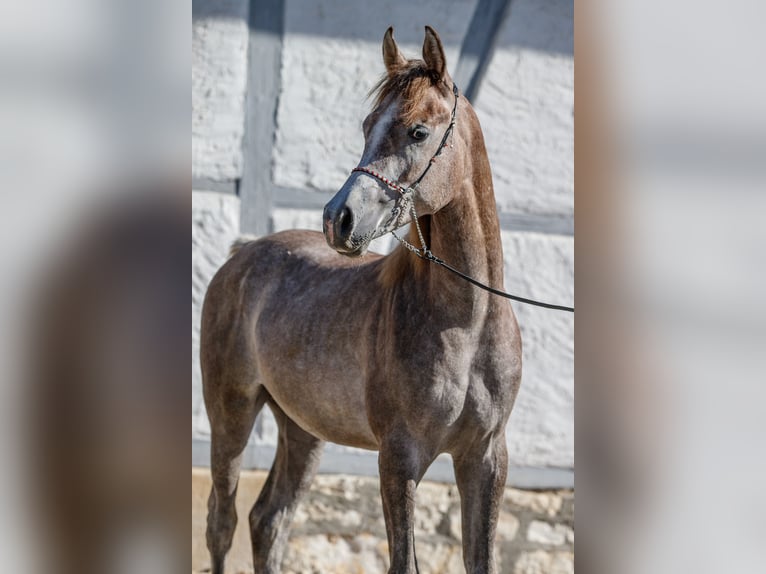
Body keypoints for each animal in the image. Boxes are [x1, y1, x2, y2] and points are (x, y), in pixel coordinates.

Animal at [202, 26, 522, 574]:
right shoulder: (400, 458)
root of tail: (242, 255)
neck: (468, 323)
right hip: (231, 413)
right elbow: (403, 563)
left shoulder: (484, 457)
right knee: (222, 521)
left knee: (268, 521)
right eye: (368, 124)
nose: (339, 219)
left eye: (418, 131)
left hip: (303, 430)